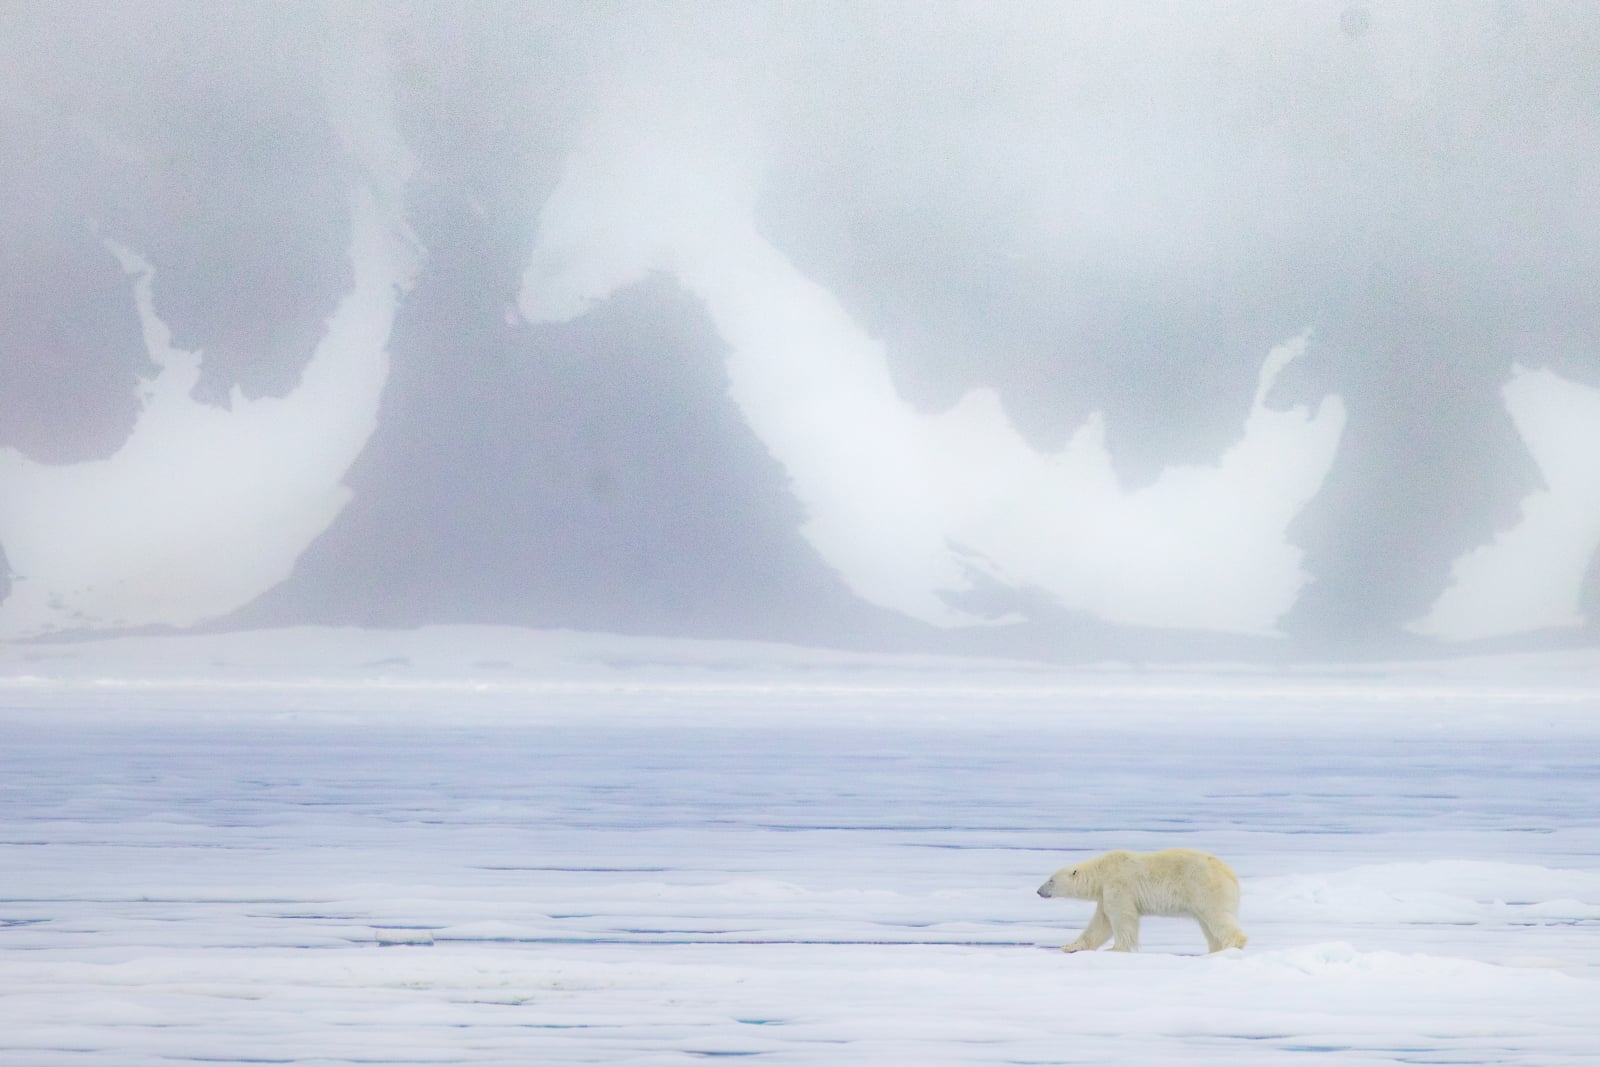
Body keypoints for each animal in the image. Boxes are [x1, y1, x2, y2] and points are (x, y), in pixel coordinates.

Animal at [1036, 848, 1247, 953]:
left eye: (1051, 880)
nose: (1039, 891)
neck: (1101, 870)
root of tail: (1231, 875)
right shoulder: (1105, 893)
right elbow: (1101, 923)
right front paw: (1070, 946)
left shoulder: (1118, 884)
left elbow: (1122, 917)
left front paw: (1116, 949)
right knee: (1208, 926)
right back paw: (1214, 950)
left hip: (1206, 889)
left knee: (1218, 917)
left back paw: (1232, 945)